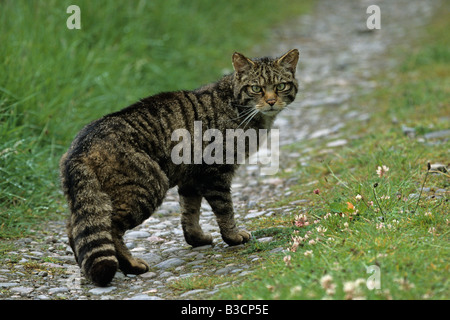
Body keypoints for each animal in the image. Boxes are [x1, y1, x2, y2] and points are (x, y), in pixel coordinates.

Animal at [59, 48, 298, 286]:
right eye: (256, 88)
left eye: (280, 86)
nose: (271, 101)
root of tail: (77, 149)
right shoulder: (216, 173)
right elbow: (225, 210)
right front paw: (233, 236)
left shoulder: (191, 177)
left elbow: (190, 213)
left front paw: (197, 239)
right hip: (148, 187)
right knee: (110, 228)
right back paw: (131, 265)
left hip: (93, 199)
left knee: (76, 227)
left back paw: (86, 269)